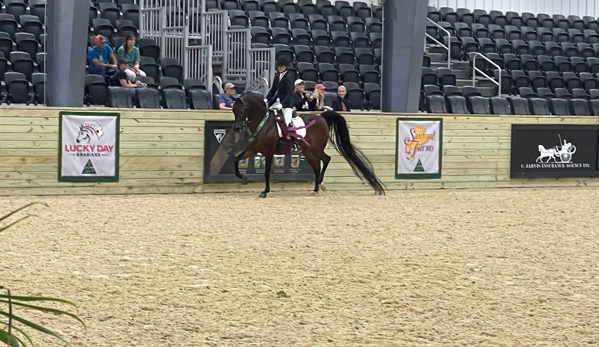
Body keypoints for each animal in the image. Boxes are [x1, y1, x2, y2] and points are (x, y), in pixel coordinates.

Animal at [232, 94, 386, 198]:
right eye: (234, 110)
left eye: (243, 109)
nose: (237, 128)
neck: (263, 123)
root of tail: (322, 117)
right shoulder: (253, 148)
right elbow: (236, 159)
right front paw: (242, 177)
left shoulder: (269, 151)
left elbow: (267, 171)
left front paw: (265, 191)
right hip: (308, 152)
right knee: (317, 166)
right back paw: (316, 189)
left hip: (315, 149)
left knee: (326, 159)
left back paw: (320, 183)